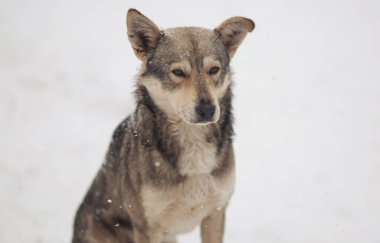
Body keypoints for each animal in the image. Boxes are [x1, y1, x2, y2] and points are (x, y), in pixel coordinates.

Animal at [71, 8, 255, 243]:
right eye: (178, 72)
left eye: (214, 69)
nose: (207, 110)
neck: (192, 142)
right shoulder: (147, 227)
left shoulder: (216, 213)